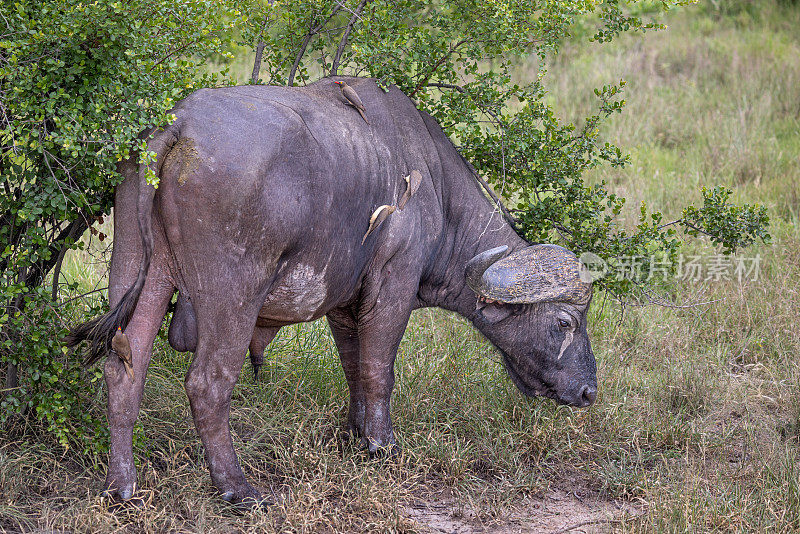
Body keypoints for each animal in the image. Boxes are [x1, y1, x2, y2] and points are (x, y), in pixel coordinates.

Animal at [67, 77, 592, 508]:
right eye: (565, 321)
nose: (588, 391)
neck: (435, 188)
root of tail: (179, 126)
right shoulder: (392, 287)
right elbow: (379, 370)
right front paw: (382, 445)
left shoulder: (343, 304)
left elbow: (353, 366)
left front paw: (356, 434)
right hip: (232, 296)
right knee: (208, 383)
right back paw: (237, 488)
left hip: (141, 271)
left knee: (124, 369)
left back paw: (122, 487)